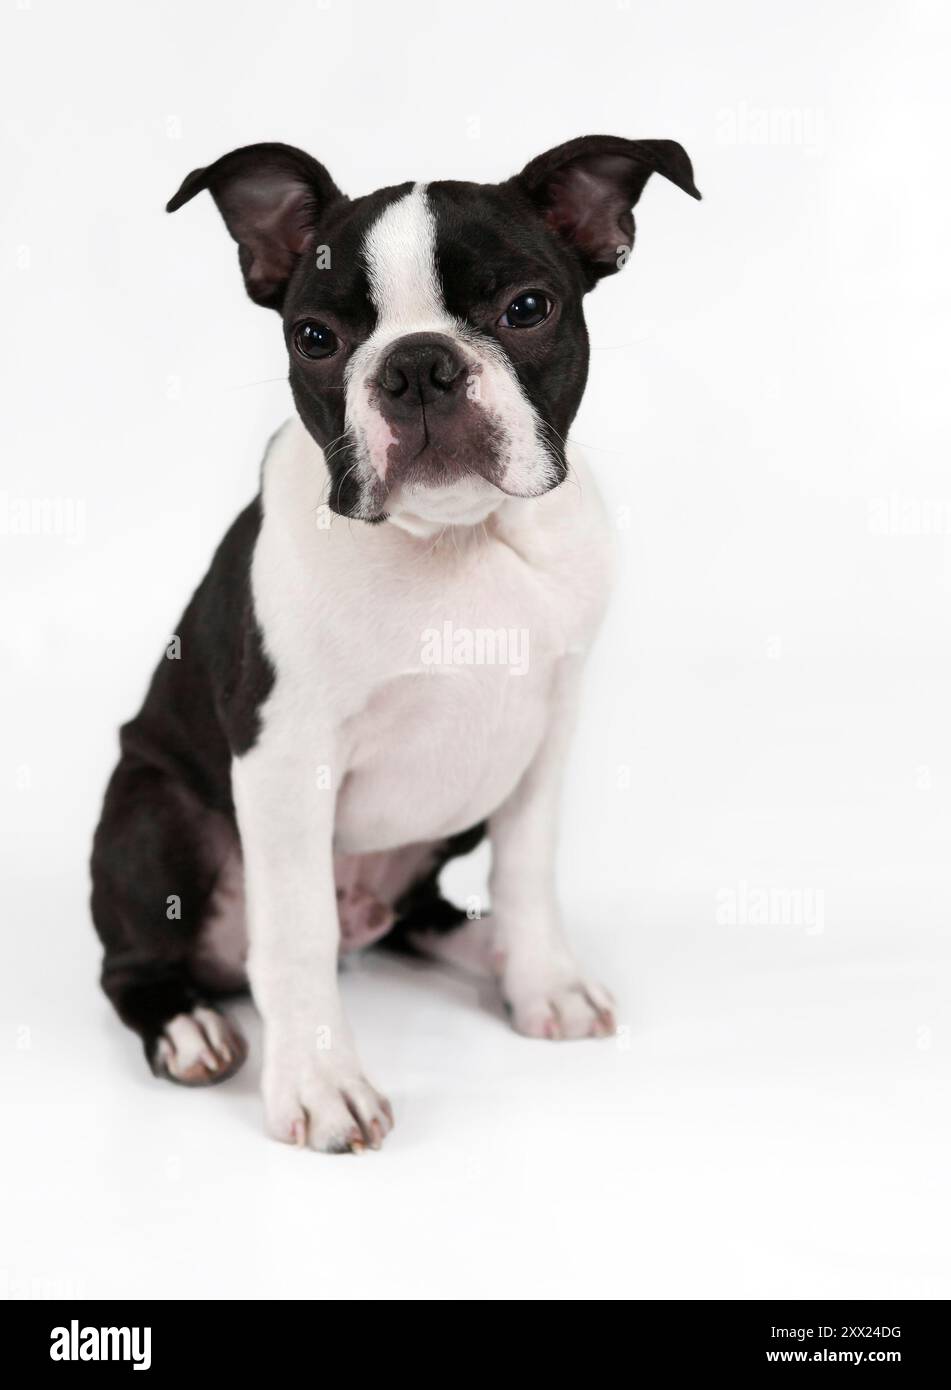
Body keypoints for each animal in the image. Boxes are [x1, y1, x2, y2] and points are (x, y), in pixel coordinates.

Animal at [91, 135, 697, 1150]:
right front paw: (321, 1087)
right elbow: (294, 936)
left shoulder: (547, 728)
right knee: (139, 965)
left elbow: (528, 869)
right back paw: (187, 1027)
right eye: (314, 339)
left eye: (526, 309)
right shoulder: (285, 760)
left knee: (423, 915)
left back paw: (491, 950)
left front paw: (544, 980)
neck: (456, 541)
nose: (418, 365)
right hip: (151, 810)